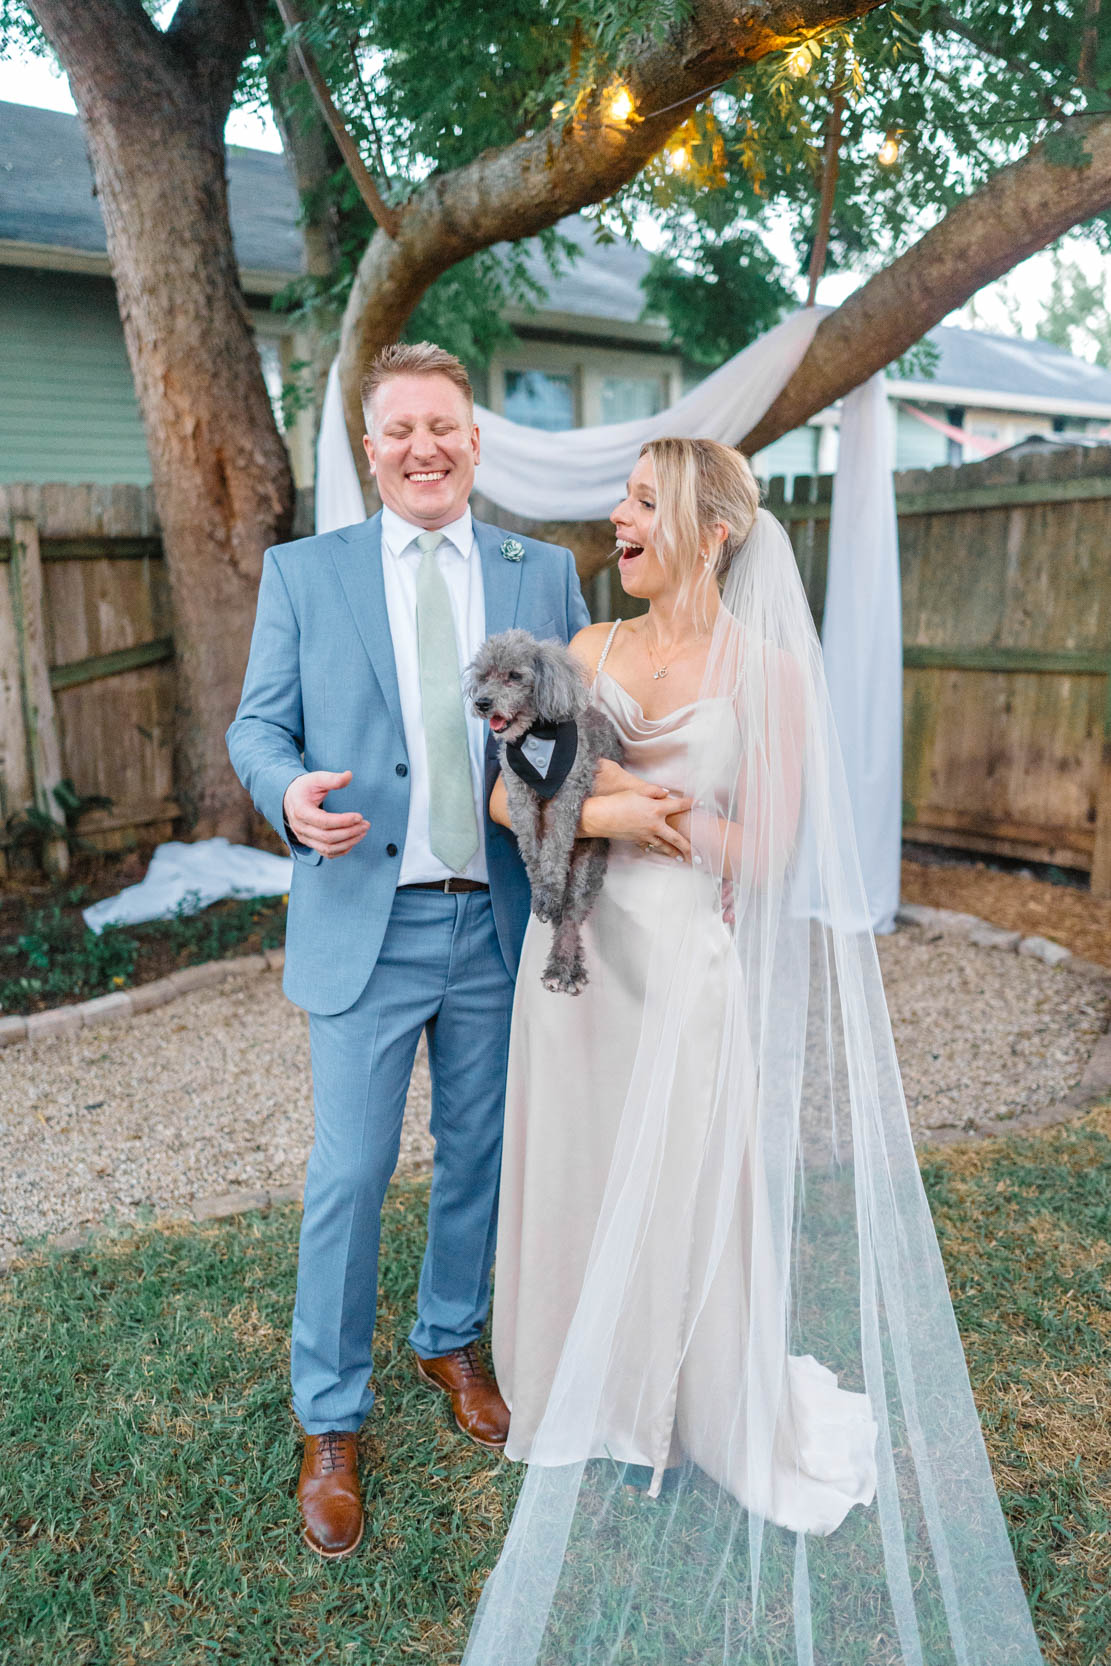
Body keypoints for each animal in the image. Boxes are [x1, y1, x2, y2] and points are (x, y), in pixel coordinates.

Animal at [466, 626, 626, 986]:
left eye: (514, 676)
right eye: (483, 676)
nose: (482, 702)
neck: (536, 736)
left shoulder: (567, 797)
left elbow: (553, 849)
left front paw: (548, 888)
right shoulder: (519, 797)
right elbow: (532, 849)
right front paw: (541, 889)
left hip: (589, 862)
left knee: (572, 911)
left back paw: (563, 965)